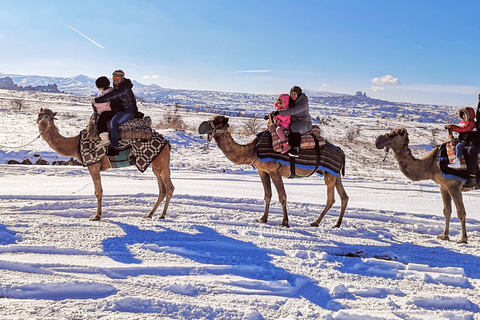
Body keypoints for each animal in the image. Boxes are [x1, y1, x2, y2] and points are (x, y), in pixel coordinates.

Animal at [36, 107, 174, 220]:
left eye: (51, 117)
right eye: (40, 115)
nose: (44, 121)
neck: (74, 145)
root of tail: (167, 143)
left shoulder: (93, 165)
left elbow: (98, 191)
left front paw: (96, 216)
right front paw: (97, 215)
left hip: (161, 162)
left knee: (169, 188)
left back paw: (162, 215)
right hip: (155, 164)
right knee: (162, 189)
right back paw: (149, 214)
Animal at [198, 116, 348, 229]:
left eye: (217, 121)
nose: (201, 127)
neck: (252, 150)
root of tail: (341, 152)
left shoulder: (274, 171)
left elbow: (282, 196)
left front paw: (285, 222)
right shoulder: (262, 171)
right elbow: (267, 195)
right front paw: (263, 219)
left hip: (330, 174)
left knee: (331, 199)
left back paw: (315, 222)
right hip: (334, 173)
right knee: (344, 197)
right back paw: (337, 224)